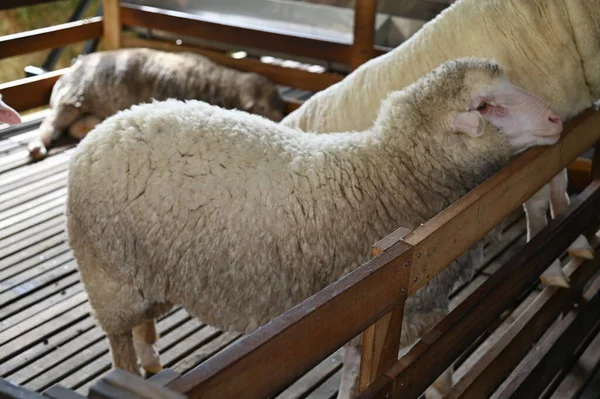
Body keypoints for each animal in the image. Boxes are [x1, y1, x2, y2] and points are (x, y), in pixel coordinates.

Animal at [29, 49, 288, 162]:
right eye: (265, 109)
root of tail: (70, 69)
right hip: (74, 97)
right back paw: (37, 146)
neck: (221, 86)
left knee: (76, 126)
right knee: (50, 123)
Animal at [65, 57, 564, 396]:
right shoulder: (399, 310)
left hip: (143, 270)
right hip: (107, 271)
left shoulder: (375, 312)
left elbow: (369, 376)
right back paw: (133, 366)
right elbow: (430, 378)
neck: (389, 172)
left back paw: (151, 352)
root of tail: (106, 129)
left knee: (142, 320)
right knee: (119, 339)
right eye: (485, 106)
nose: (557, 119)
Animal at [282, 0, 600, 290]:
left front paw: (577, 240)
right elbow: (537, 201)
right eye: (484, 105)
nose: (552, 117)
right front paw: (551, 264)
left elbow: (560, 186)